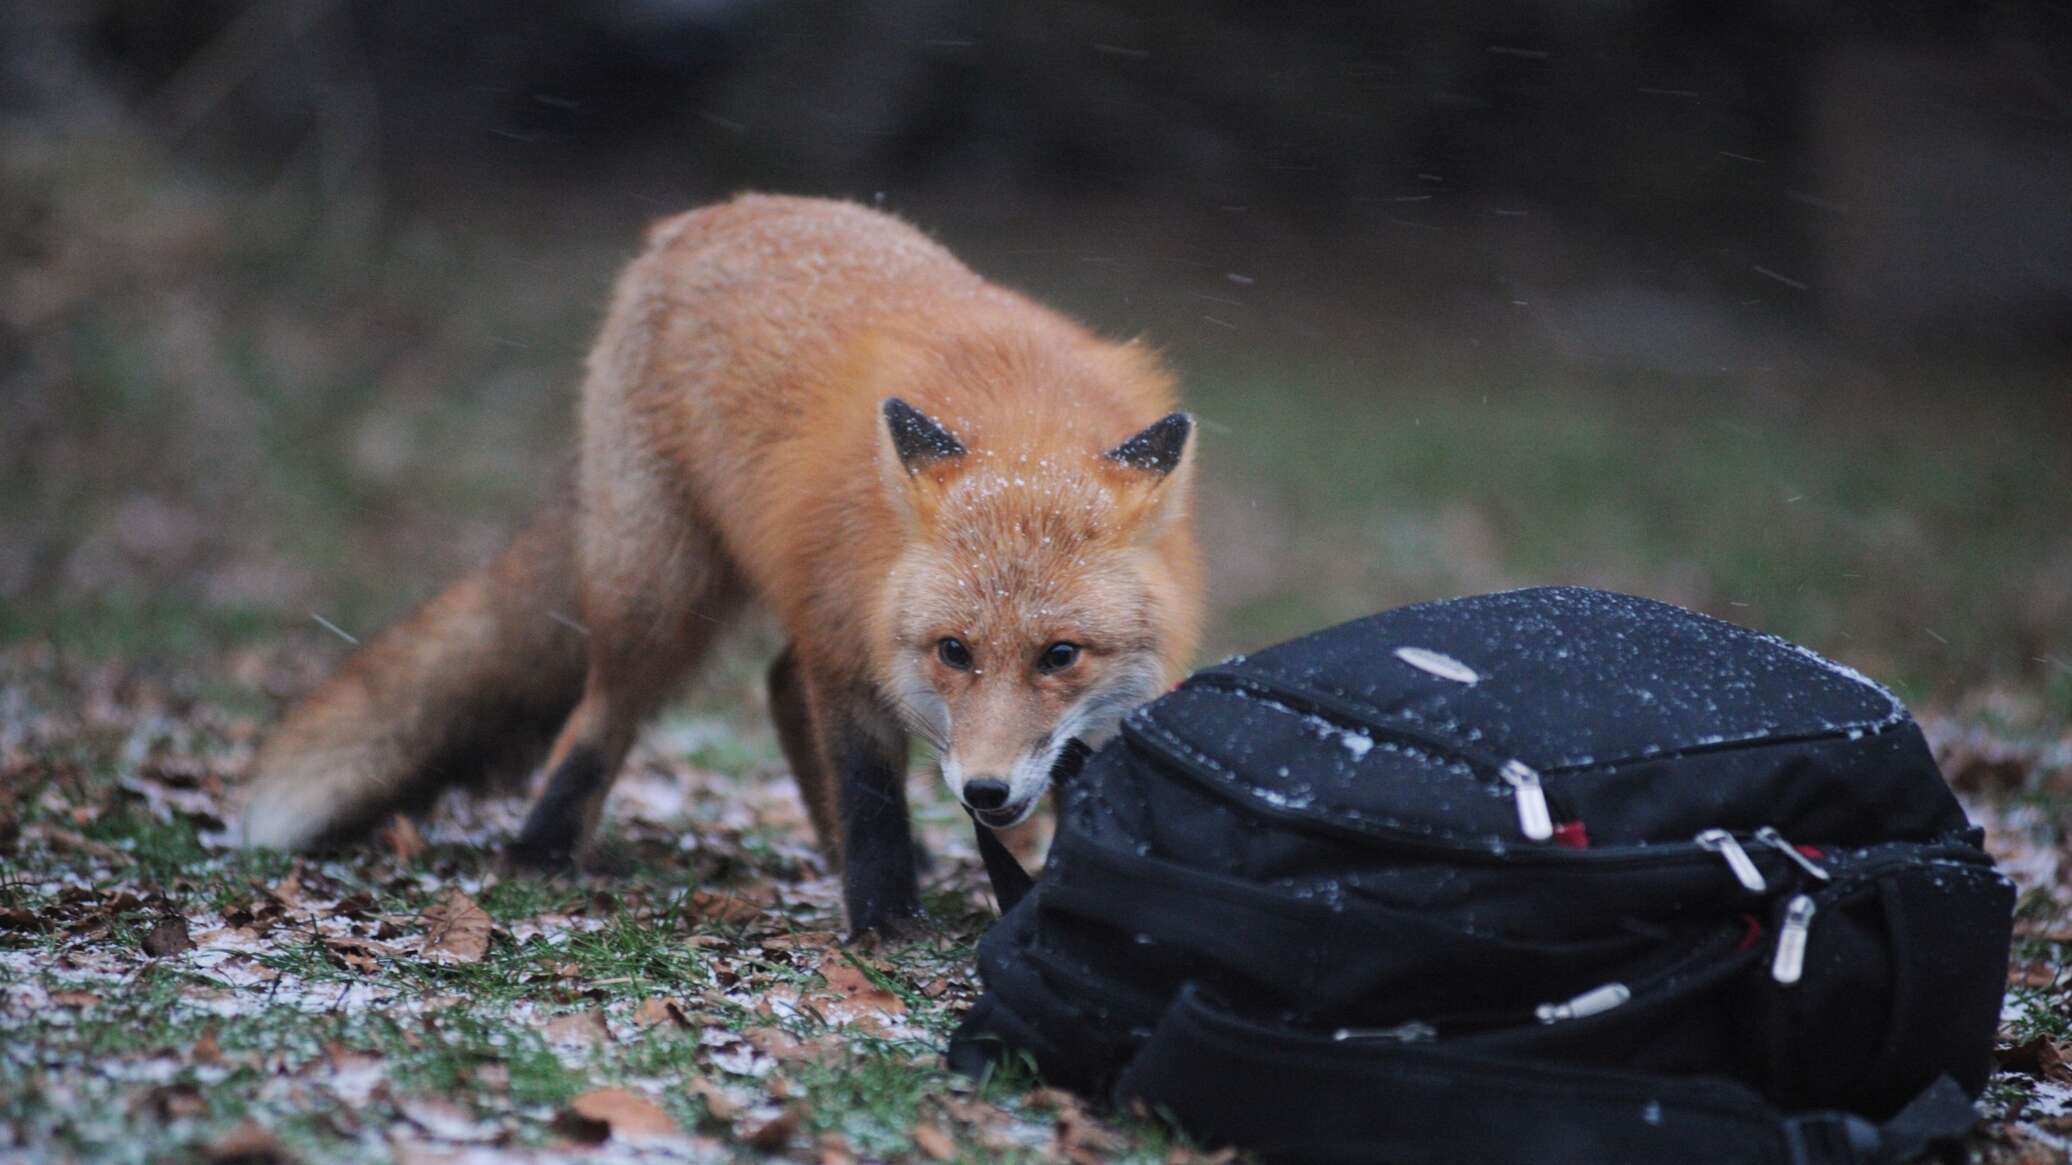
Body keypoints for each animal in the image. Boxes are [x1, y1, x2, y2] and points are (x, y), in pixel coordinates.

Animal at [242, 194, 1210, 928]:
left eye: (1060, 655)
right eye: (954, 651)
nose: (985, 792)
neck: (1023, 430)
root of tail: (695, 219)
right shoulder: (846, 640)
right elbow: (870, 792)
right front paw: (886, 922)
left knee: (777, 683)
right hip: (661, 594)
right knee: (601, 713)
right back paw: (540, 850)